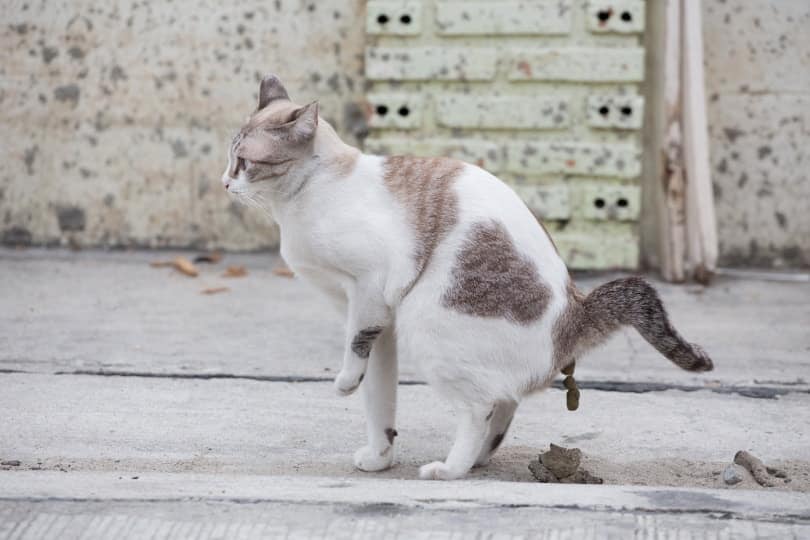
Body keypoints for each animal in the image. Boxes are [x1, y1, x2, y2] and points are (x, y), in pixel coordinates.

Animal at [223, 75, 712, 480]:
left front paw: (344, 382)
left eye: (244, 162)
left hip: (426, 319)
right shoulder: (381, 320)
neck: (306, 197)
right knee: (505, 400)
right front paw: (380, 457)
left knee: (478, 409)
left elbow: (356, 352)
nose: (225, 183)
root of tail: (574, 315)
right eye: (230, 158)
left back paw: (451, 468)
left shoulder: (368, 292)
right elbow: (378, 396)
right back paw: (477, 458)